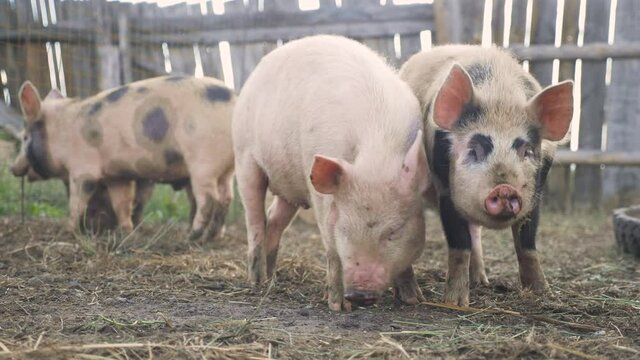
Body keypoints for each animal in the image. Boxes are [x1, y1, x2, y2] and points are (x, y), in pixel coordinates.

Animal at [11, 75, 236, 239]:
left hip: (203, 162)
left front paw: (67, 231)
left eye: (24, 137)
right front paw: (126, 232)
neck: (62, 132)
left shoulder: (82, 169)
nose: (12, 169)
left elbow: (77, 201)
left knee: (208, 199)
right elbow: (122, 202)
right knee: (226, 198)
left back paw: (193, 237)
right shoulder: (117, 175)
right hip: (226, 169)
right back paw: (211, 237)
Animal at [400, 45, 576, 306]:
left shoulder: (535, 196)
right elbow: (459, 244)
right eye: (473, 150)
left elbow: (527, 245)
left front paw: (545, 294)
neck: (500, 99)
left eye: (527, 151)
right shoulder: (446, 190)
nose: (504, 188)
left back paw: (482, 282)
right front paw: (455, 303)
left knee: (476, 233)